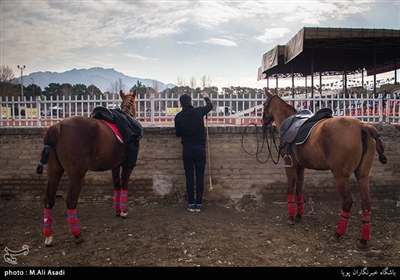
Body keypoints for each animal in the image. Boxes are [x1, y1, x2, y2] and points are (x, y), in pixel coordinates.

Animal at [35, 89, 141, 245]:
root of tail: (57, 127)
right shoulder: (127, 164)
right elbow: (124, 185)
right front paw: (123, 211)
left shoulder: (114, 166)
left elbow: (116, 186)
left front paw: (117, 210)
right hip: (77, 174)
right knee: (71, 200)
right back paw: (77, 234)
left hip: (53, 170)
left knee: (48, 199)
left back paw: (48, 236)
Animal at [260, 88, 386, 249]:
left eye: (264, 104)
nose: (263, 122)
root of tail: (362, 126)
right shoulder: (301, 166)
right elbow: (299, 189)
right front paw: (299, 215)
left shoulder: (290, 165)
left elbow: (290, 188)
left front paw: (291, 217)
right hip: (363, 175)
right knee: (366, 202)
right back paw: (363, 239)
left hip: (340, 176)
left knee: (347, 202)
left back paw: (337, 234)